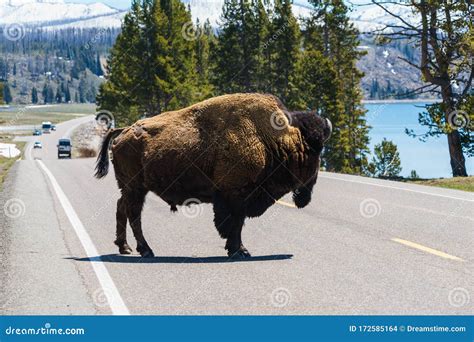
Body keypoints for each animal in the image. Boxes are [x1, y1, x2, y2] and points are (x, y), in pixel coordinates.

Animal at [94, 92, 332, 258]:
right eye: (316, 149)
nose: (305, 195)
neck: (273, 138)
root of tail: (123, 131)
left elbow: (237, 224)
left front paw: (236, 249)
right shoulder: (234, 195)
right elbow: (234, 224)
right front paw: (240, 251)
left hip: (131, 188)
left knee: (122, 208)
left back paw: (125, 247)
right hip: (135, 188)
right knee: (134, 214)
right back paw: (146, 250)